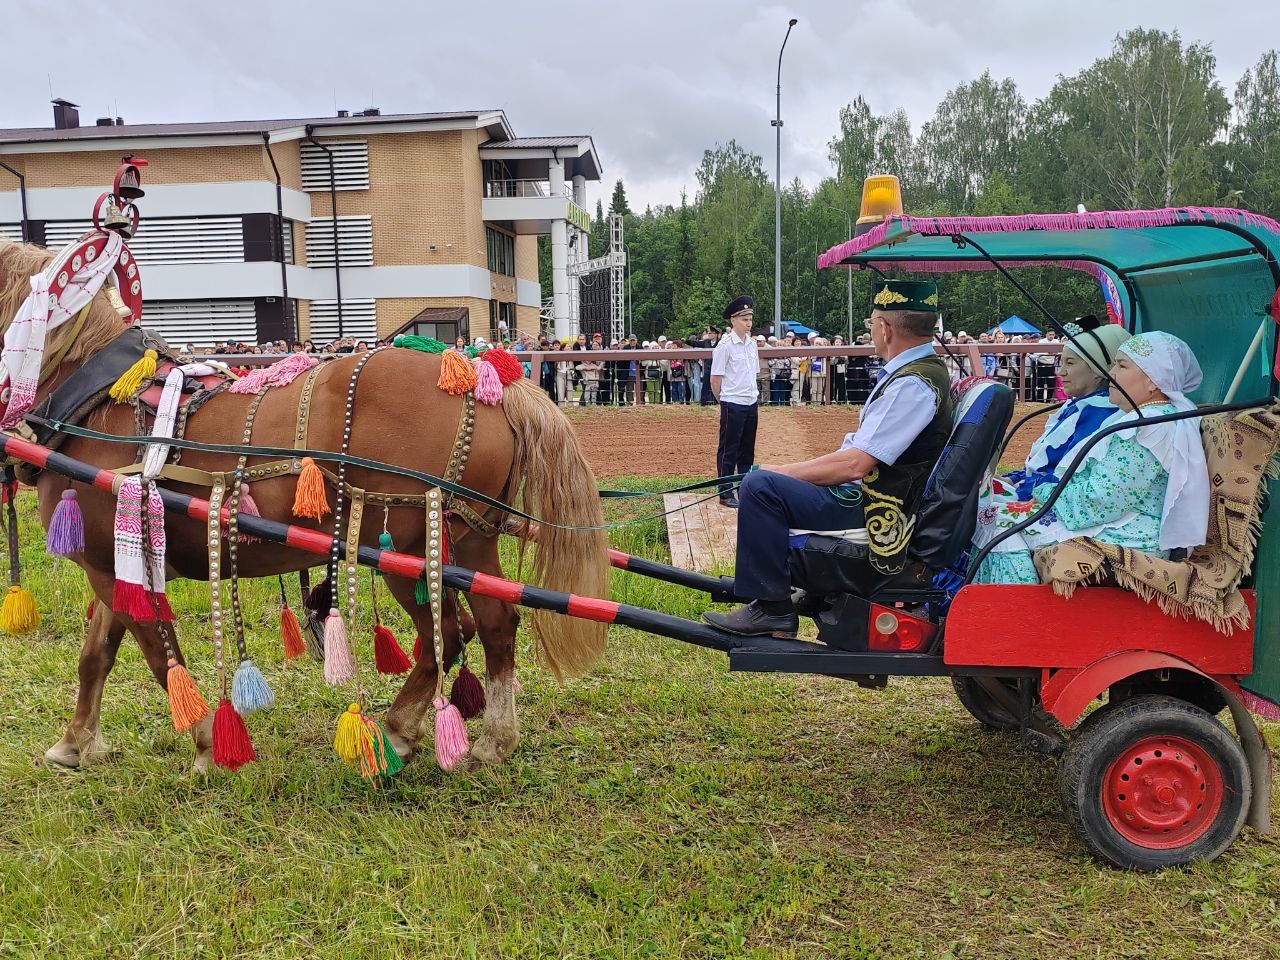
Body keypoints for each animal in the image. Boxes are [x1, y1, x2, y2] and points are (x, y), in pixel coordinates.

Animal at [0, 240, 609, 773]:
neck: (93, 404)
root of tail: (488, 377)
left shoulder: (110, 561)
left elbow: (158, 654)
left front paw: (205, 743)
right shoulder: (114, 562)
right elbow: (97, 654)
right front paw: (76, 742)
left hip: (405, 545)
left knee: (451, 632)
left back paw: (397, 729)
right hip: (472, 538)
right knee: (497, 623)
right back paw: (493, 739)